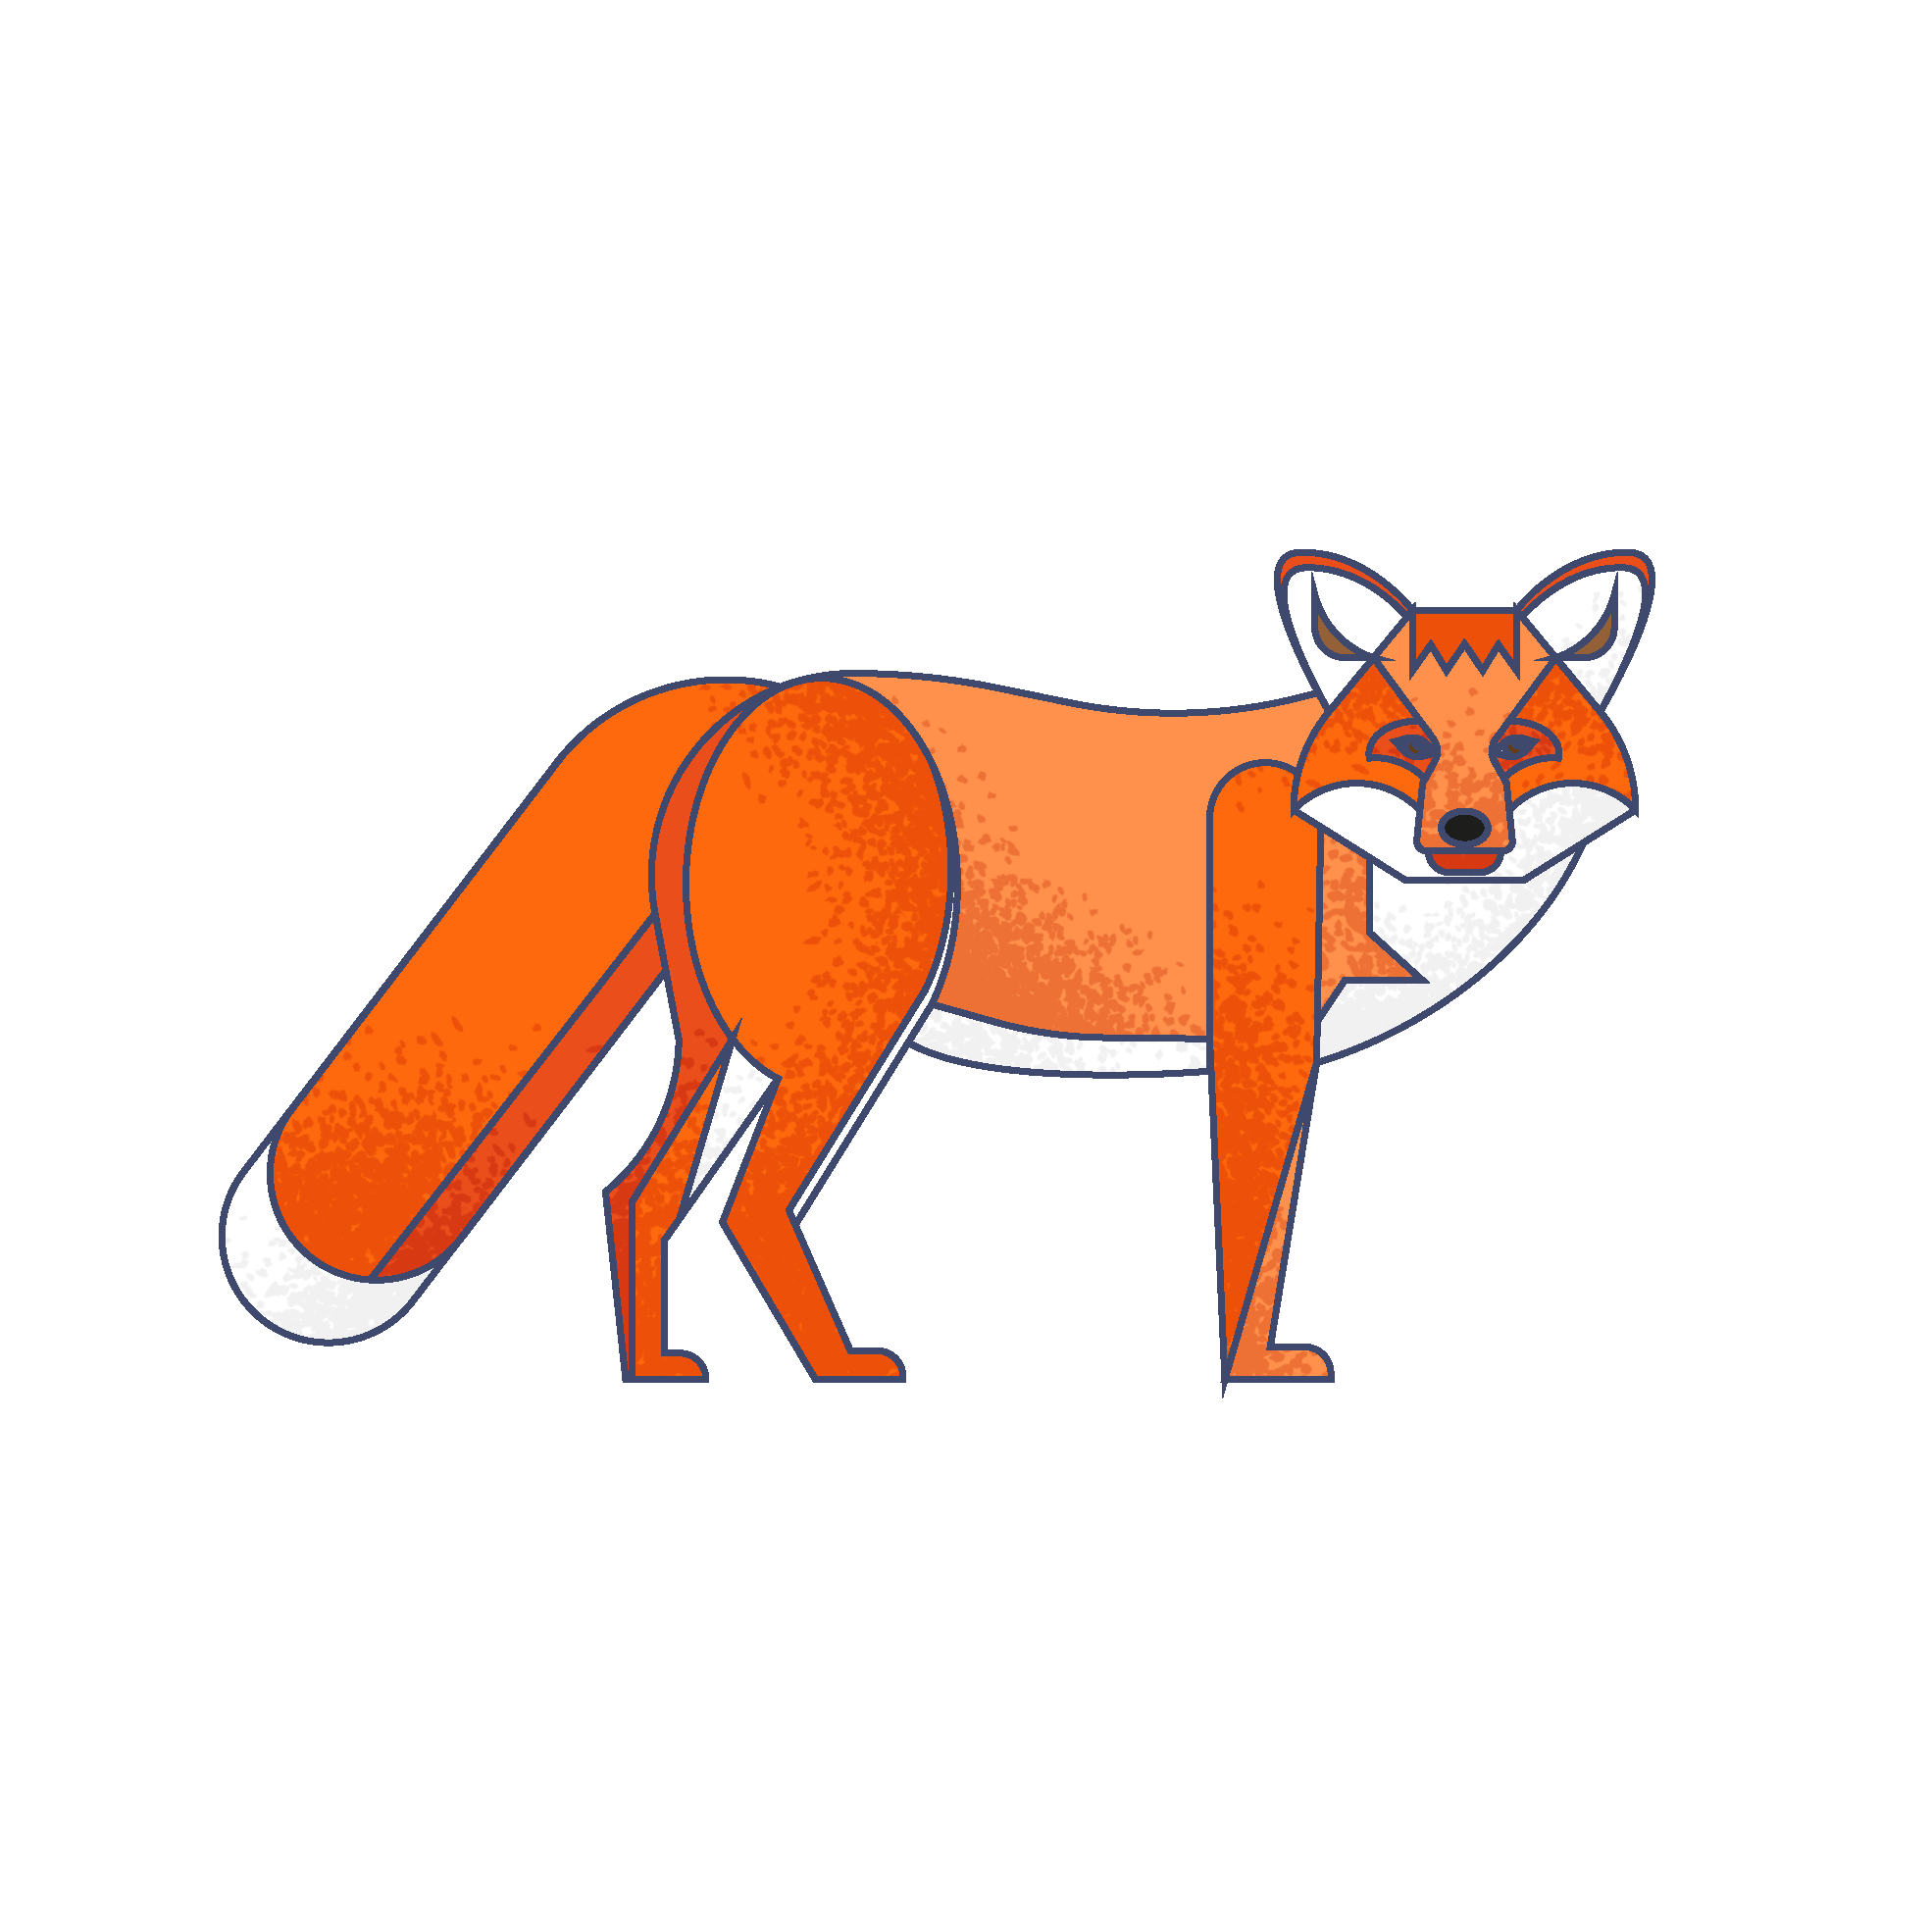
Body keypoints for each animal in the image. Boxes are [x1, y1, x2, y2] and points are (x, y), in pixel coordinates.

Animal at [219, 548, 1650, 1385]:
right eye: (1404, 745)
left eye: (1520, 746)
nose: (1460, 836)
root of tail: (755, 694)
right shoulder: (1257, 1039)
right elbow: (1249, 1235)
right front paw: (1245, 1371)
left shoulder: (1293, 1056)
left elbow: (1275, 1221)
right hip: (846, 1038)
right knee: (749, 1205)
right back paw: (839, 1367)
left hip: (740, 1050)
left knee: (638, 1191)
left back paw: (660, 1369)